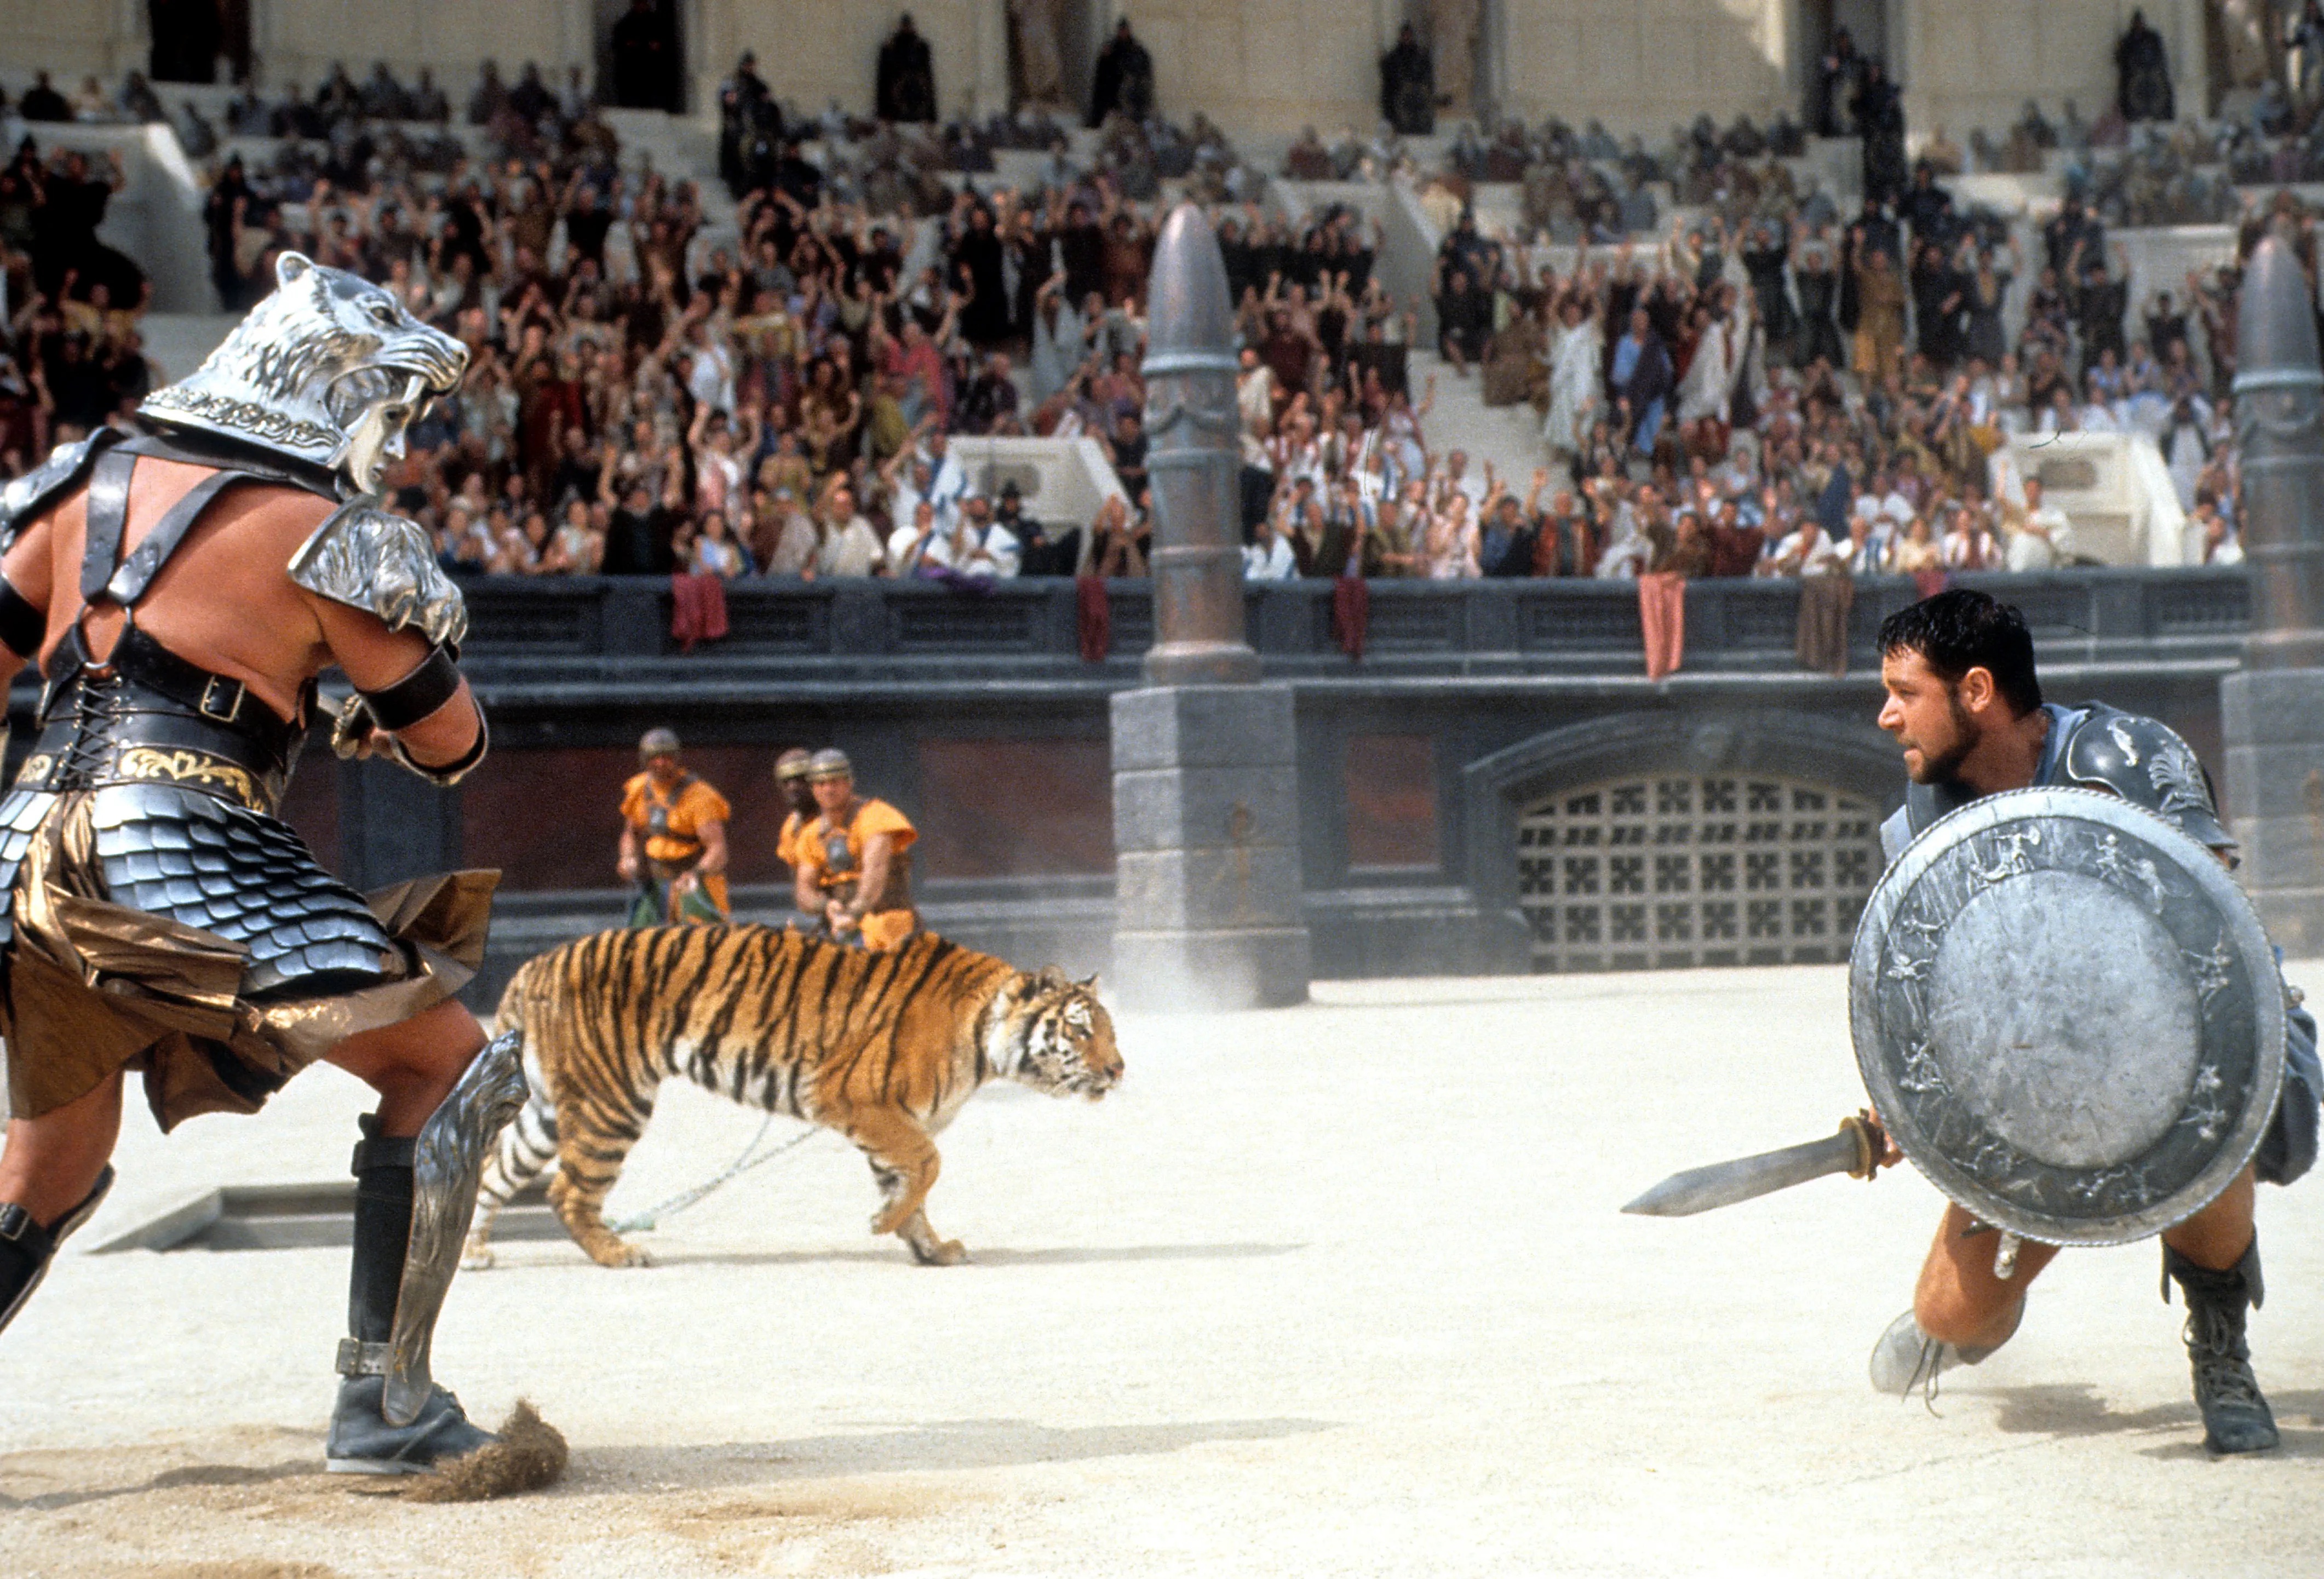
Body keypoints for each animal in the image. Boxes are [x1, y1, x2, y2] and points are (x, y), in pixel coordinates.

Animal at [460, 934, 1115, 1265]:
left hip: (546, 1111)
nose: (1119, 1068)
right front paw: (884, 1225)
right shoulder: (856, 1098)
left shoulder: (893, 1120)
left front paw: (927, 1245)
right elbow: (927, 1165)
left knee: (492, 1171)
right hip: (612, 1102)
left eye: (1109, 1031)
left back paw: (473, 1254)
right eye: (1081, 1030)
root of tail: (531, 967)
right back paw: (619, 1253)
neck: (984, 1039)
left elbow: (910, 1181)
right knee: (568, 1191)